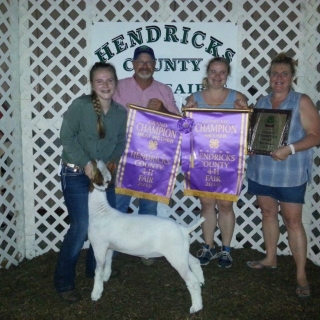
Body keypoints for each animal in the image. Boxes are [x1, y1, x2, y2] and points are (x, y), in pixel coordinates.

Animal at [87, 159, 205, 314]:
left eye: (96, 169)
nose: (94, 160)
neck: (100, 211)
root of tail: (184, 229)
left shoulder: (99, 246)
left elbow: (98, 270)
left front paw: (96, 293)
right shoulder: (109, 246)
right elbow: (108, 262)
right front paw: (107, 277)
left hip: (176, 257)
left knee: (192, 281)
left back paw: (196, 306)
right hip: (181, 253)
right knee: (195, 262)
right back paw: (202, 281)